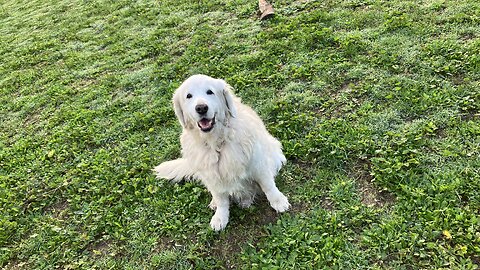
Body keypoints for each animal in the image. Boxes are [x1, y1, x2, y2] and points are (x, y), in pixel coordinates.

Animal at [154, 75, 288, 231]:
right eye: (188, 96)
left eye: (210, 92)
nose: (201, 108)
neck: (216, 143)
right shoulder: (212, 176)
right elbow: (221, 200)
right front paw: (220, 217)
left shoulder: (258, 164)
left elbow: (268, 185)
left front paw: (278, 201)